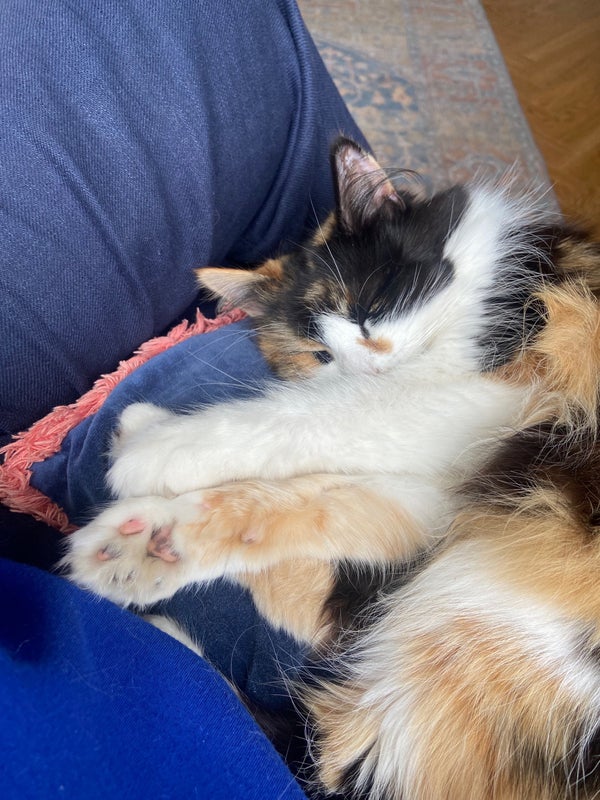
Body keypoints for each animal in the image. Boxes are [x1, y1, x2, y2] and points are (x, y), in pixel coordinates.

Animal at [63, 137, 600, 799]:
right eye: (318, 354)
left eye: (369, 309)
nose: (365, 366)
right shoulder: (446, 480)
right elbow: (314, 491)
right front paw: (146, 461)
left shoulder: (489, 394)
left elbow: (306, 417)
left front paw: (152, 449)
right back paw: (136, 552)